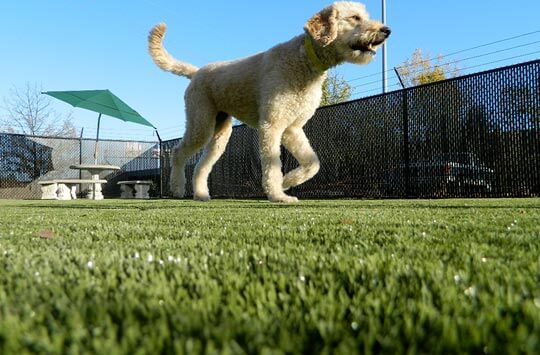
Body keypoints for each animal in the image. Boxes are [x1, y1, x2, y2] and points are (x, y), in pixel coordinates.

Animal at [150, 0, 390, 203]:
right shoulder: (272, 125)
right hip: (201, 123)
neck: (304, 60)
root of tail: (196, 72)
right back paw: (178, 189)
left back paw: (200, 194)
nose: (386, 31)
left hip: (220, 133)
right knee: (178, 152)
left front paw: (286, 182)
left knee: (202, 166)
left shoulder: (292, 128)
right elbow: (273, 165)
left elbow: (313, 163)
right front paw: (278, 195)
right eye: (355, 17)